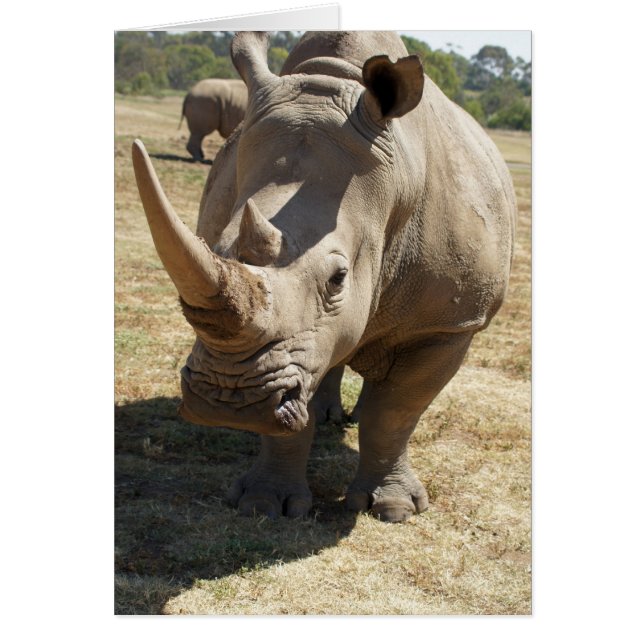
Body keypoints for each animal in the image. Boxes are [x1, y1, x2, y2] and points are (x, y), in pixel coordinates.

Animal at [131, 31, 516, 523]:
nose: (230, 402)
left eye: (339, 279)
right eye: (214, 247)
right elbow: (300, 409)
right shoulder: (294, 349)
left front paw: (393, 510)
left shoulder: (451, 322)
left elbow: (396, 413)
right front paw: (265, 504)